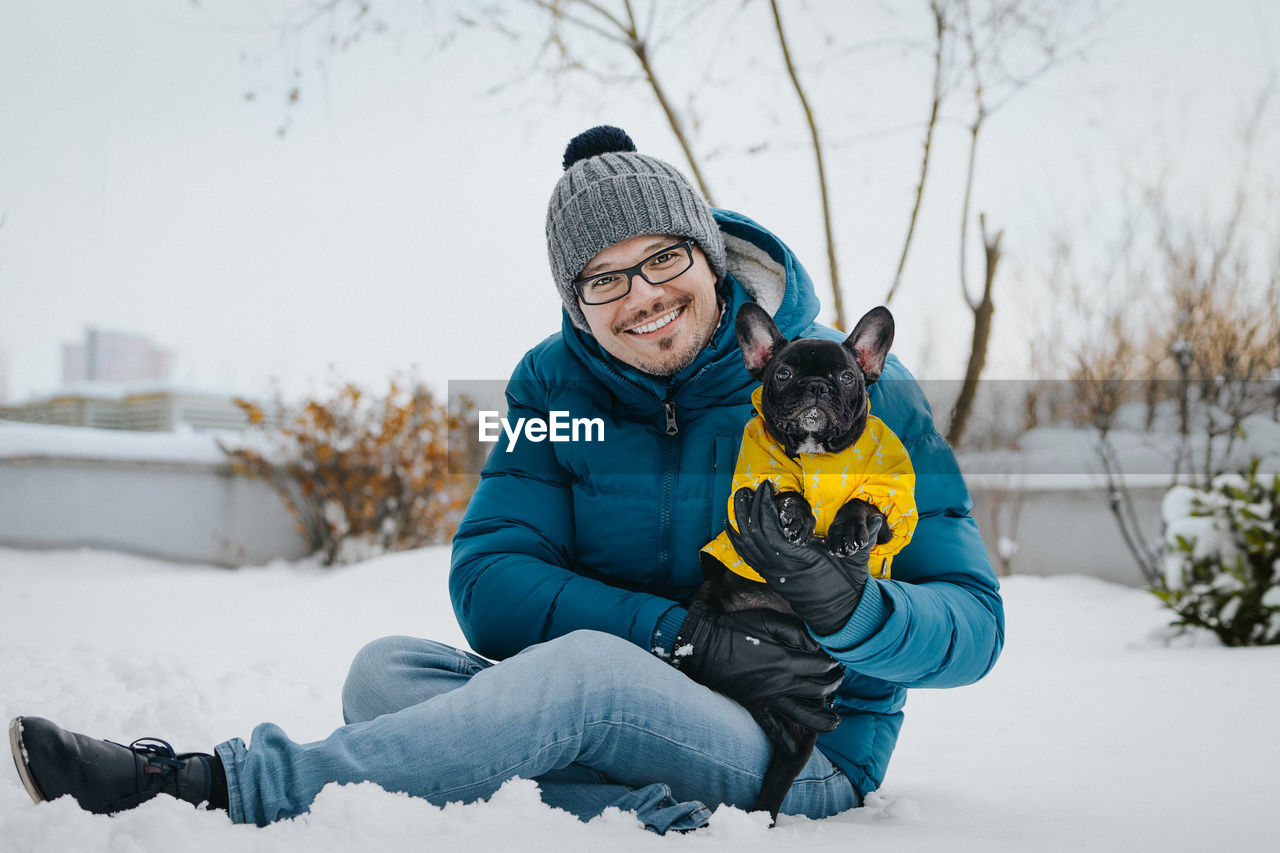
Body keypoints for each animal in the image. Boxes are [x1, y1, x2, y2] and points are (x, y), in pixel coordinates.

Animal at [696, 302, 916, 819]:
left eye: (848, 377)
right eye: (783, 373)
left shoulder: (890, 503)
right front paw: (793, 517)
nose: (816, 386)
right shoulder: (760, 475)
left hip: (812, 716)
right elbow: (782, 490)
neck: (819, 456)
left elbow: (862, 505)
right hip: (710, 595)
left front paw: (847, 534)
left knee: (788, 752)